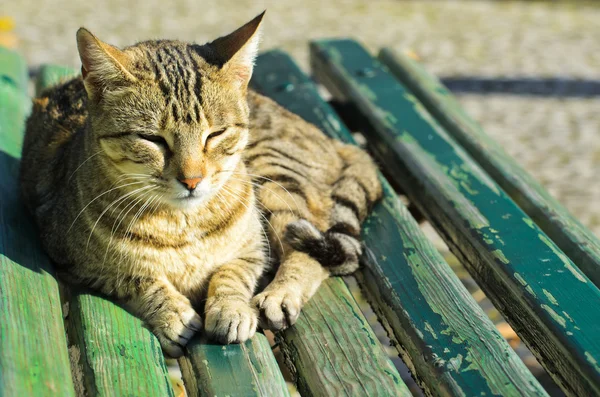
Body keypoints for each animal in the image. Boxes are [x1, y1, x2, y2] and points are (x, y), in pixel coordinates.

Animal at [22, 12, 384, 358]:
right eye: (152, 139)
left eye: (215, 134)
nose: (192, 179)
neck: (183, 225)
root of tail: (338, 141)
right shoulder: (72, 258)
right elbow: (138, 278)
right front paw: (172, 313)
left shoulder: (253, 248)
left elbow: (231, 275)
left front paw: (230, 309)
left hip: (275, 178)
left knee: (314, 248)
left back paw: (280, 293)